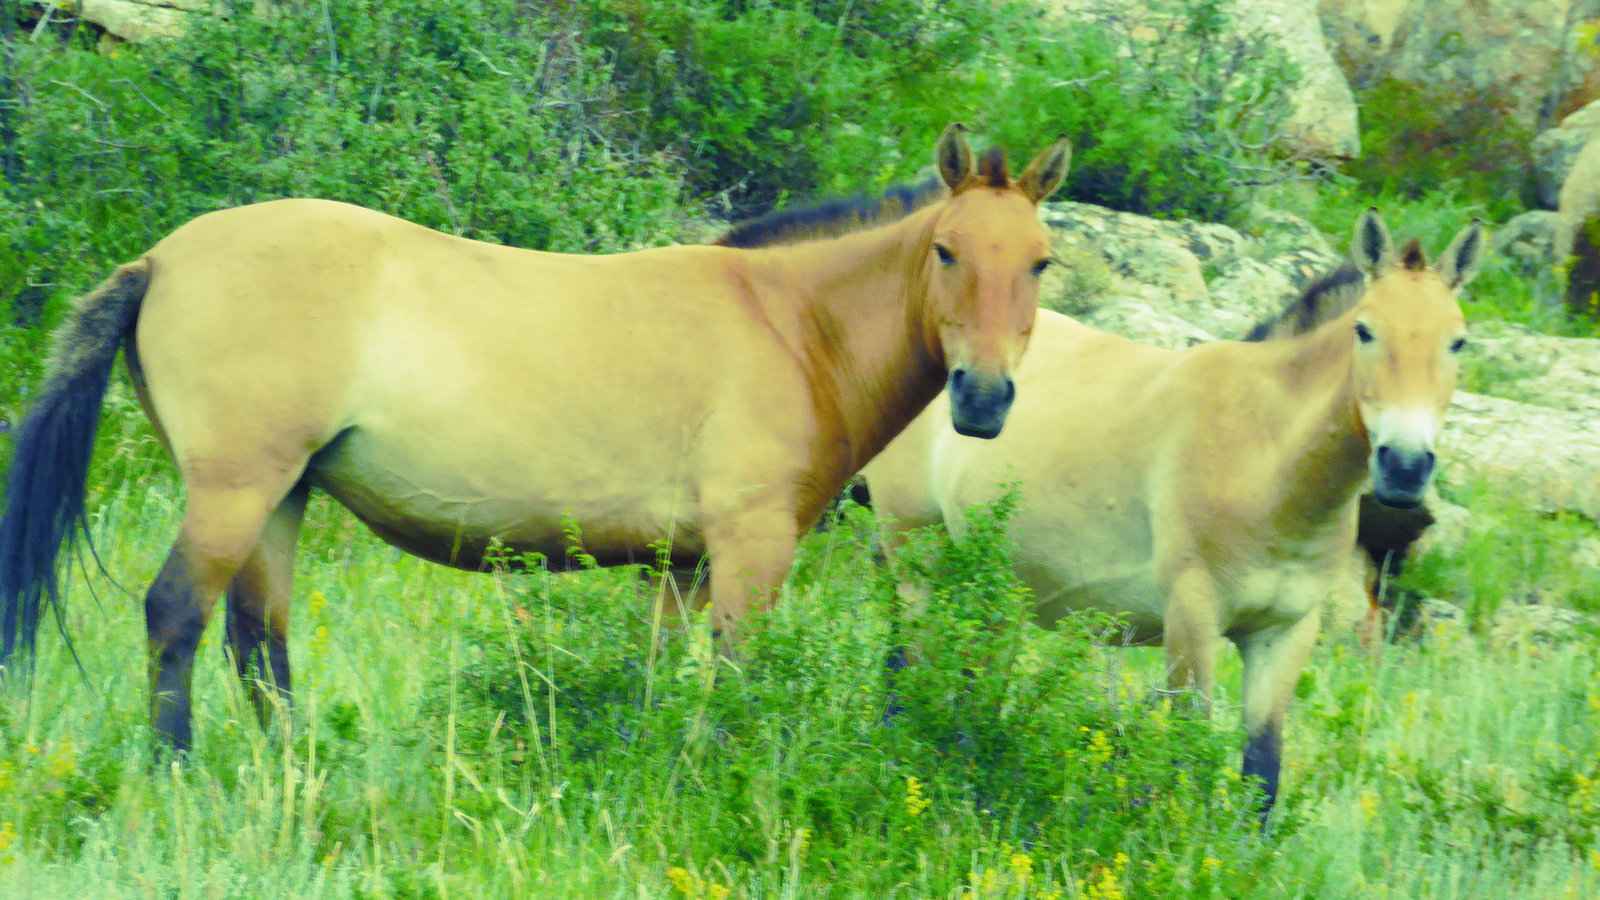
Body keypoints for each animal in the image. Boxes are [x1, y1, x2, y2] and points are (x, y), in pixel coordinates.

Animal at [6, 122, 1075, 746]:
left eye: (1039, 261)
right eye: (948, 251)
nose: (984, 400)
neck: (789, 323)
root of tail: (160, 260)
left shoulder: (679, 568)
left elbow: (657, 685)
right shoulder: (749, 553)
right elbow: (732, 686)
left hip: (283, 496)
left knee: (256, 644)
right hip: (237, 490)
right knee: (176, 616)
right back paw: (175, 772)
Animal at [864, 212, 1484, 816]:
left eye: (1457, 343)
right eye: (1365, 330)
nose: (1405, 466)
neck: (1261, 453)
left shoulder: (1283, 635)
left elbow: (1262, 773)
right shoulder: (1192, 618)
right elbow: (1189, 751)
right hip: (917, 557)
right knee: (907, 664)